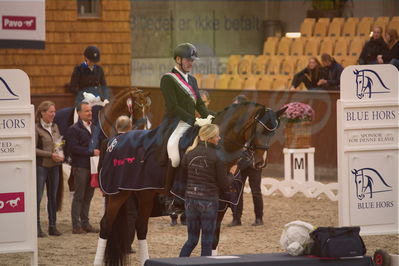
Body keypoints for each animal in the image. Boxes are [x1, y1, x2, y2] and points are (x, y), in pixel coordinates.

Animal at [94, 102, 288, 266]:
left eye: (273, 132)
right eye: (260, 130)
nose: (260, 163)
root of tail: (114, 140)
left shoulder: (220, 206)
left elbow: (213, 241)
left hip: (145, 194)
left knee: (141, 227)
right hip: (118, 195)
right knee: (106, 226)